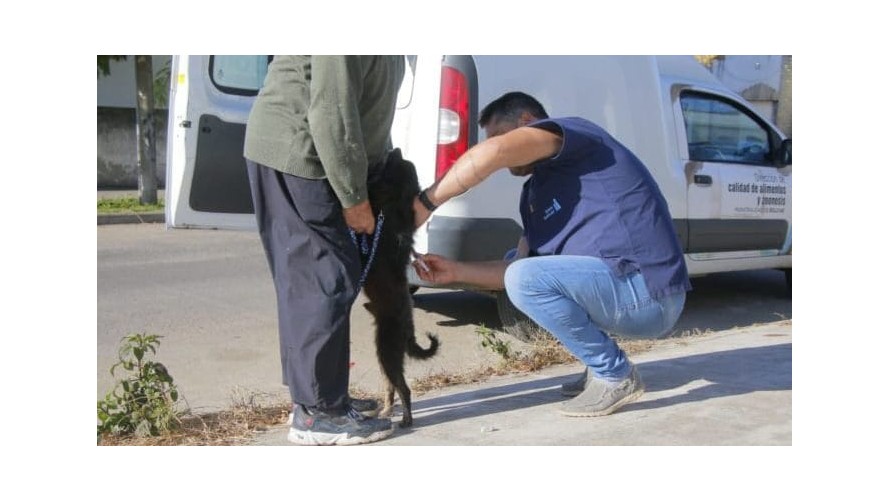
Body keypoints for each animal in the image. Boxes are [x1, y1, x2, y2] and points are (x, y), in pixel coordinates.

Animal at [360, 148, 438, 426]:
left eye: (395, 163)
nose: (395, 149)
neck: (392, 206)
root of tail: (408, 328)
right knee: (392, 385)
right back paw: (385, 412)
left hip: (386, 348)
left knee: (404, 387)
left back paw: (406, 419)